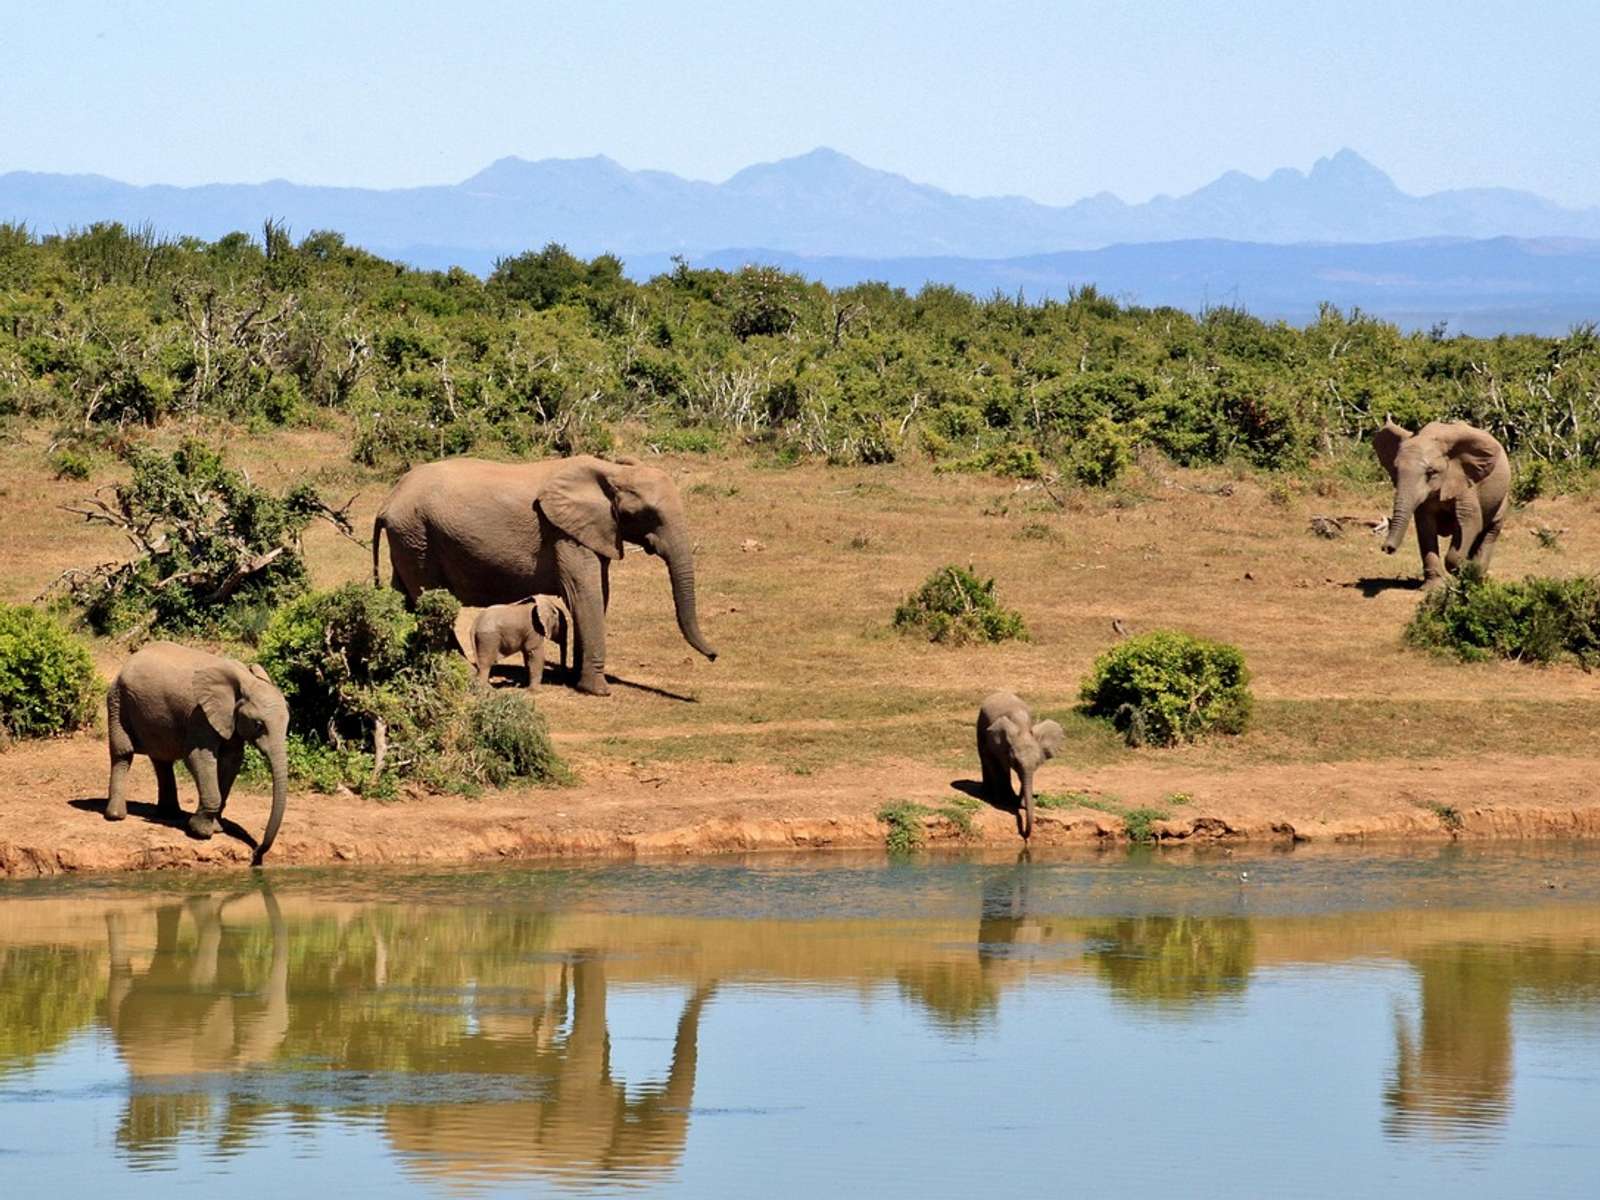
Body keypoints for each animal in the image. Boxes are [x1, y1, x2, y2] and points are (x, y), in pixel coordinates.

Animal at [105, 642, 288, 864]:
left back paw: (169, 815)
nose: (256, 853)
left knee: (162, 759)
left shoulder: (229, 720)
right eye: (259, 725)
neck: (245, 681)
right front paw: (200, 832)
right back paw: (116, 816)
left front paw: (216, 828)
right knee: (123, 753)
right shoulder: (200, 715)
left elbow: (231, 761)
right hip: (117, 700)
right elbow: (198, 758)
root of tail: (129, 660)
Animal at [373, 455, 717, 696]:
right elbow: (585, 594)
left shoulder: (593, 531)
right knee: (430, 599)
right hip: (418, 535)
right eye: (649, 514)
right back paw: (459, 669)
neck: (611, 471)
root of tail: (388, 500)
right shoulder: (564, 533)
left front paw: (577, 679)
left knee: (405, 597)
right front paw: (597, 690)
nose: (714, 656)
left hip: (408, 540)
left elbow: (598, 595)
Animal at [976, 691, 1065, 840]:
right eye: (1015, 763)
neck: (1022, 728)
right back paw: (989, 794)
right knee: (986, 759)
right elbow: (999, 765)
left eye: (1037, 764)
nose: (1025, 835)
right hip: (980, 726)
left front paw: (1020, 804)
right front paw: (1003, 802)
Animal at [1374, 419, 1510, 586]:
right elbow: (1425, 527)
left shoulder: (1465, 482)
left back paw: (1476, 577)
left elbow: (1470, 522)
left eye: (1431, 472)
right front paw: (1433, 587)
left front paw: (1466, 568)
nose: (1387, 548)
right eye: (1395, 469)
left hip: (1502, 497)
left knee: (1491, 531)